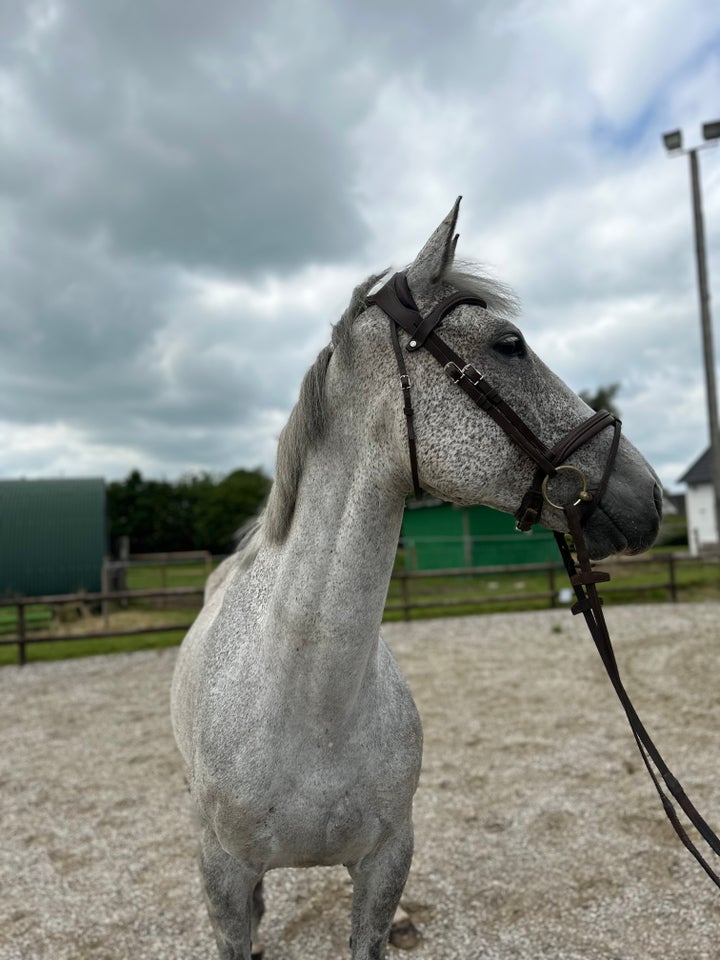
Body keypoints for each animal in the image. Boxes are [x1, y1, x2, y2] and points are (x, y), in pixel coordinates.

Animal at [172, 199, 660, 956]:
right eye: (509, 344)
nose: (650, 494)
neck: (310, 704)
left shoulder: (385, 863)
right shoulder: (221, 876)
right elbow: (236, 919)